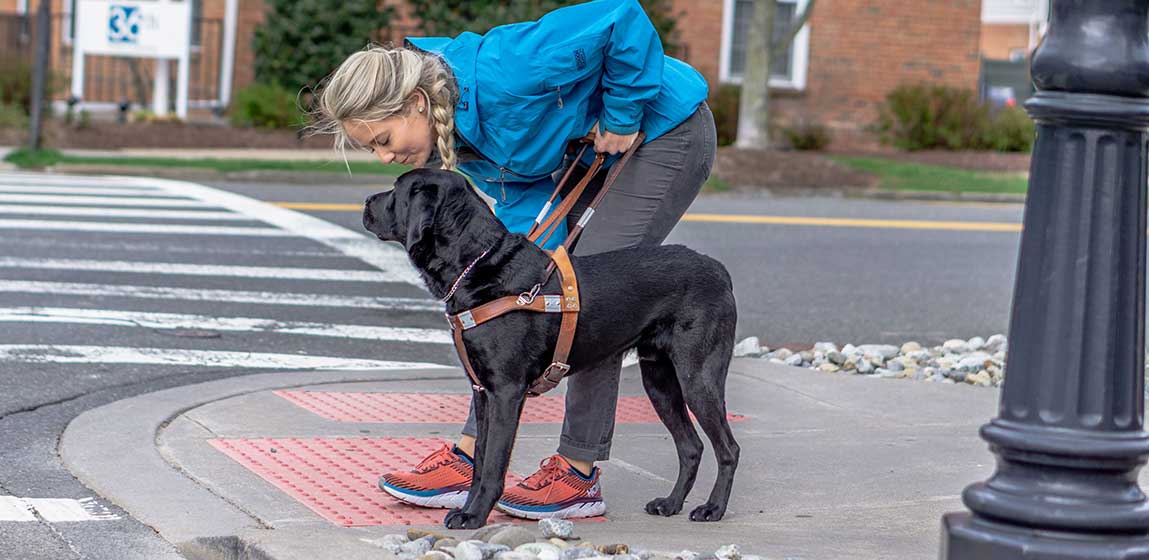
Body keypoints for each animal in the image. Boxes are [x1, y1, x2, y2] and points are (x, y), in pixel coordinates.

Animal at [363, 169, 739, 528]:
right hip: (659, 381)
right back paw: (671, 503)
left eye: (397, 189)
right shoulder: (482, 391)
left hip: (698, 378)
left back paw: (713, 508)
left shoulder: (506, 391)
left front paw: (475, 516)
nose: (367, 201)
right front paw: (468, 509)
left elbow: (494, 463)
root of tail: (719, 270)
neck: (477, 264)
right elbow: (481, 458)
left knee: (729, 448)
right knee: (691, 446)